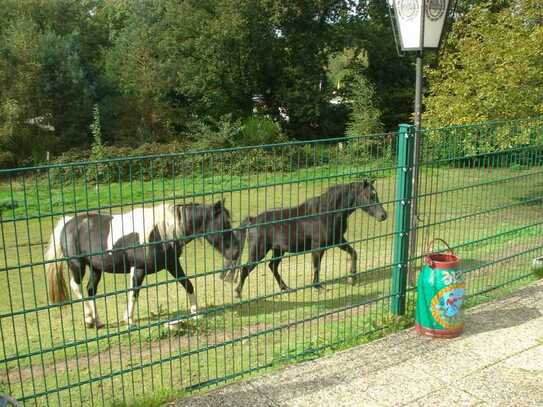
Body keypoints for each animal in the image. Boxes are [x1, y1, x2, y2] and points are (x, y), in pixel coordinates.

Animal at [47, 202, 240, 330]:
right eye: (224, 224)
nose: (236, 252)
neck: (161, 232)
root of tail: (67, 223)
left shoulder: (172, 265)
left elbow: (188, 284)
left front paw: (195, 313)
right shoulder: (138, 270)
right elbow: (134, 293)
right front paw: (129, 320)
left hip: (96, 268)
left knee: (90, 290)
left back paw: (97, 321)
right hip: (77, 265)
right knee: (76, 286)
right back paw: (88, 319)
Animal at [223, 180, 388, 298]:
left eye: (376, 194)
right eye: (368, 195)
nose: (383, 215)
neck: (326, 214)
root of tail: (253, 220)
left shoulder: (337, 241)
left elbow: (353, 253)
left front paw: (352, 278)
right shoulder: (318, 246)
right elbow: (316, 266)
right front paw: (318, 287)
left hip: (278, 250)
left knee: (272, 266)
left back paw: (285, 288)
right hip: (258, 251)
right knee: (246, 269)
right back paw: (238, 293)